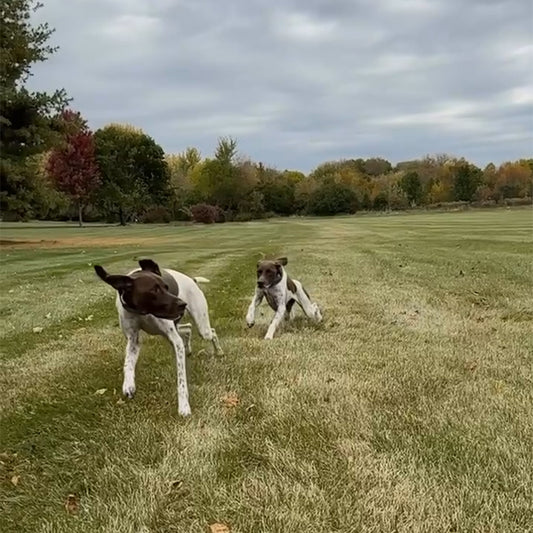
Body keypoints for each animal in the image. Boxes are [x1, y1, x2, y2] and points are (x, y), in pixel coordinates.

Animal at [94, 258, 221, 416]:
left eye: (167, 287)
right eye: (154, 290)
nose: (182, 304)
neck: (143, 312)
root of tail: (192, 280)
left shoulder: (175, 340)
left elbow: (181, 380)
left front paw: (184, 406)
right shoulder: (133, 340)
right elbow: (128, 363)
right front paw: (128, 384)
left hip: (202, 328)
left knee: (211, 332)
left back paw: (218, 351)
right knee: (188, 328)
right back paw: (189, 348)